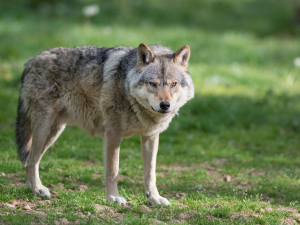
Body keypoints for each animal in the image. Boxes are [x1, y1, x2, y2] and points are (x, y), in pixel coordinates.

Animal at [15, 42, 195, 206]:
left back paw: (33, 189)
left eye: (173, 84)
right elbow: (113, 171)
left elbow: (150, 174)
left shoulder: (150, 136)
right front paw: (113, 198)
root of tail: (31, 60)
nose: (165, 105)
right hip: (44, 129)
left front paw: (154, 199)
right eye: (152, 84)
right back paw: (38, 189)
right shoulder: (113, 133)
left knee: (30, 160)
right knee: (31, 160)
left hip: (54, 132)